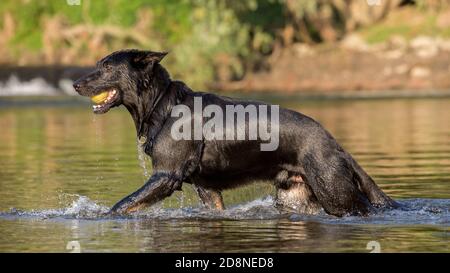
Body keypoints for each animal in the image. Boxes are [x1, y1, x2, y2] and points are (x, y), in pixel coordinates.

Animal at [72, 48, 396, 215]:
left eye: (106, 68)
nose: (74, 84)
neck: (162, 104)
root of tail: (338, 147)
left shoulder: (165, 176)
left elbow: (121, 205)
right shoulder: (206, 188)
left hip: (335, 195)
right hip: (295, 197)